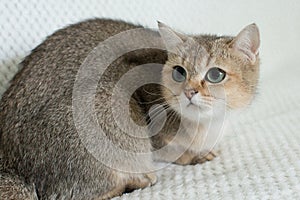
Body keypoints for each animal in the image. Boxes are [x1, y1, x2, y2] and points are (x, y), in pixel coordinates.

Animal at [0, 18, 258, 198]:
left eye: (215, 75)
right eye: (179, 72)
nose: (189, 91)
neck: (205, 125)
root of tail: (11, 163)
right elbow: (171, 151)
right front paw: (193, 156)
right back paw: (138, 180)